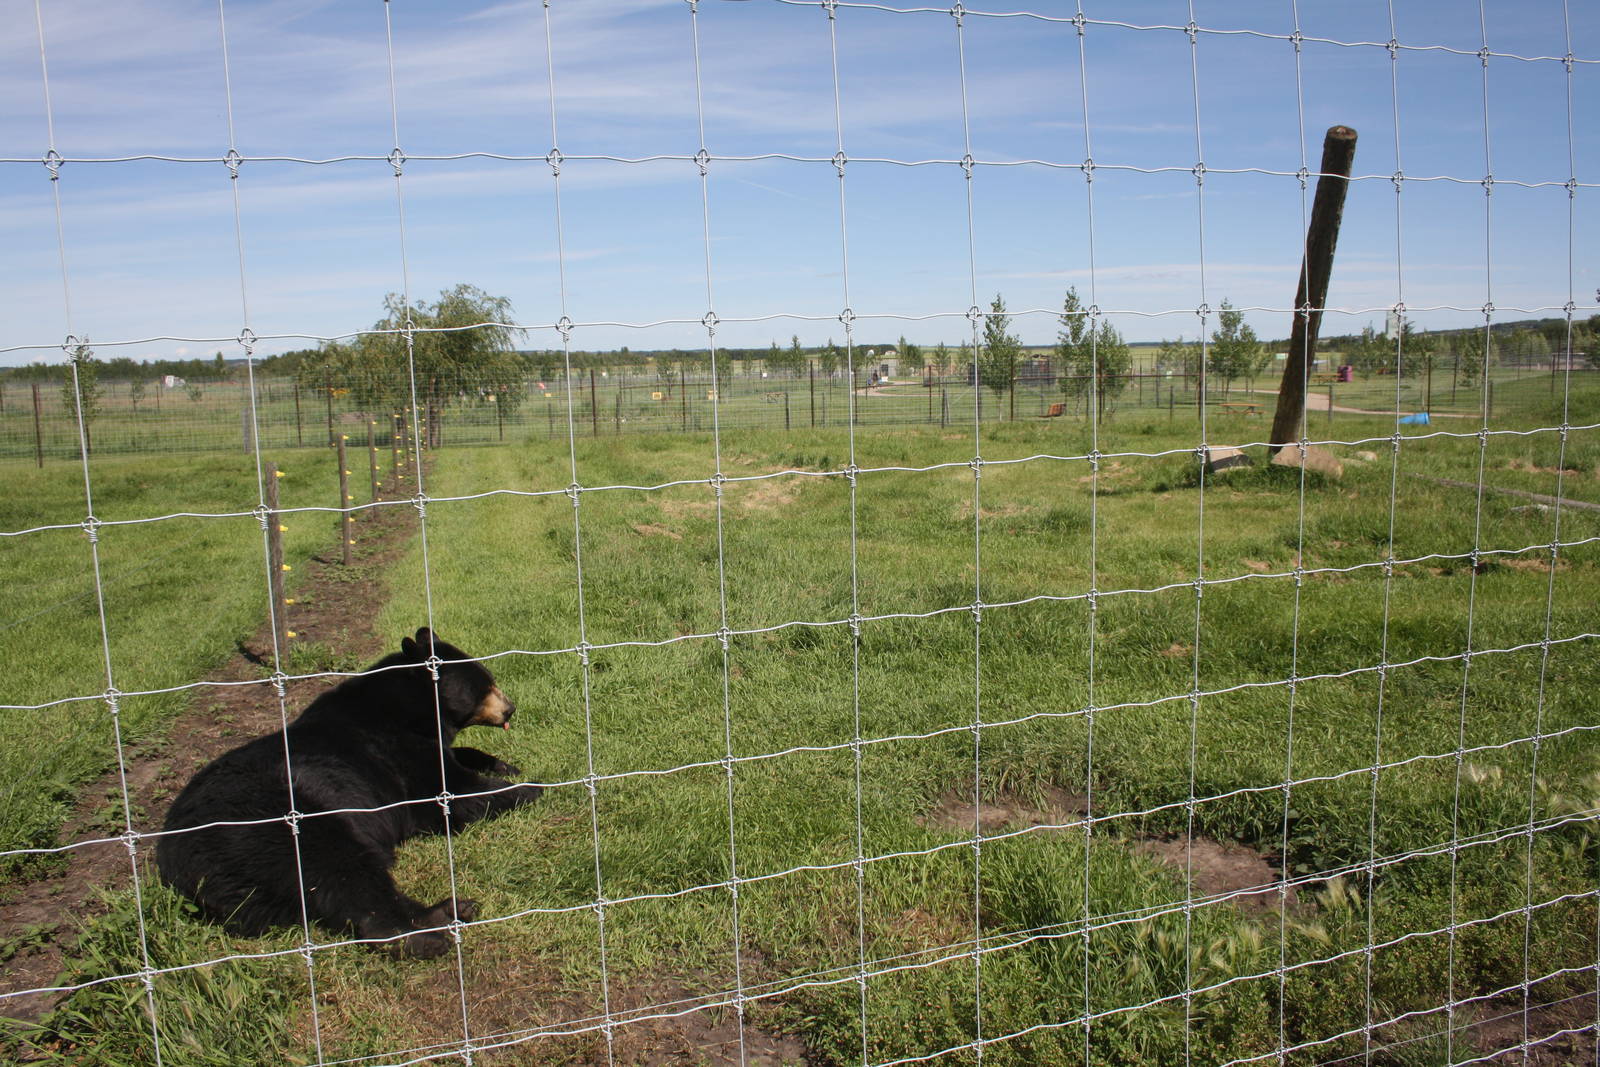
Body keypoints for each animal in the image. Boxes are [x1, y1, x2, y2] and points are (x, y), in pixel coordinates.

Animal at [155, 627, 541, 958]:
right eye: (485, 686)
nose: (510, 708)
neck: (409, 707)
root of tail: (179, 869)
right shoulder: (394, 750)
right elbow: (450, 794)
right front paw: (532, 786)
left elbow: (459, 756)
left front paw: (503, 765)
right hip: (273, 827)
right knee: (344, 876)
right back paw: (430, 930)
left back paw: (450, 910)